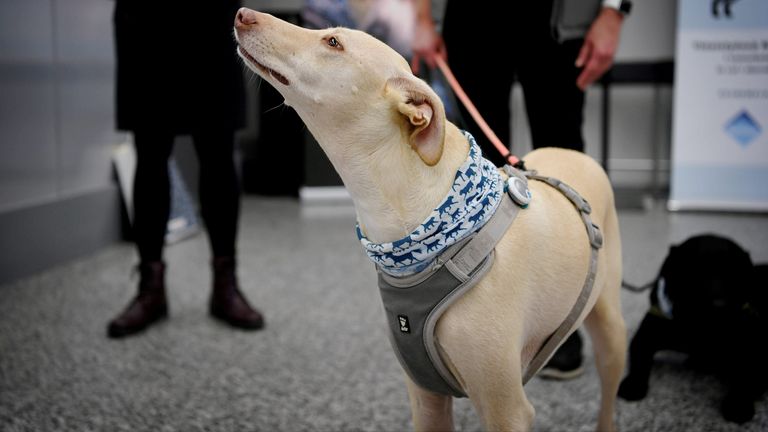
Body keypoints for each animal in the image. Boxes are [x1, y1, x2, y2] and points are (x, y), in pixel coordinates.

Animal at [237, 7, 628, 432]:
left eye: (333, 42)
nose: (243, 14)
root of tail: (574, 154)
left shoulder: (506, 408)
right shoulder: (426, 395)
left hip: (610, 330)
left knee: (609, 396)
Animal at [616, 235, 768, 424]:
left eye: (734, 272)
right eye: (695, 270)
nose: (719, 305)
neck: (698, 326)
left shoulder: (753, 350)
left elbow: (747, 375)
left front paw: (738, 405)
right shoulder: (646, 335)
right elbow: (640, 361)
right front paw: (633, 384)